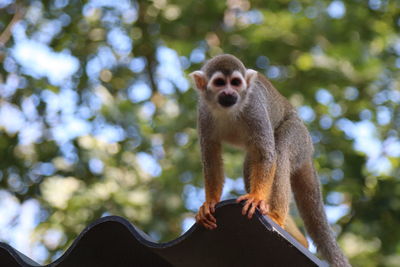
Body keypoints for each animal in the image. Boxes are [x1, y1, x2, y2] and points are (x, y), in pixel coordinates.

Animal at [191, 54, 350, 267]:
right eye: (219, 83)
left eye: (235, 82)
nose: (229, 92)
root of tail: (309, 150)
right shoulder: (204, 113)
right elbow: (211, 157)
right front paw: (210, 203)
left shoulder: (254, 109)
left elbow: (267, 154)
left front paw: (256, 198)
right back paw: (298, 237)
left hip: (299, 135)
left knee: (280, 150)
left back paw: (276, 218)